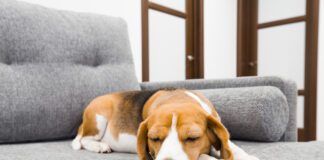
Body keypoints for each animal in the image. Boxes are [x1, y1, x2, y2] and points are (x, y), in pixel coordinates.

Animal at [72, 89, 260, 160]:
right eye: (154, 138)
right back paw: (100, 146)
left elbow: (232, 147)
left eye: (193, 138)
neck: (177, 98)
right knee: (84, 139)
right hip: (99, 117)